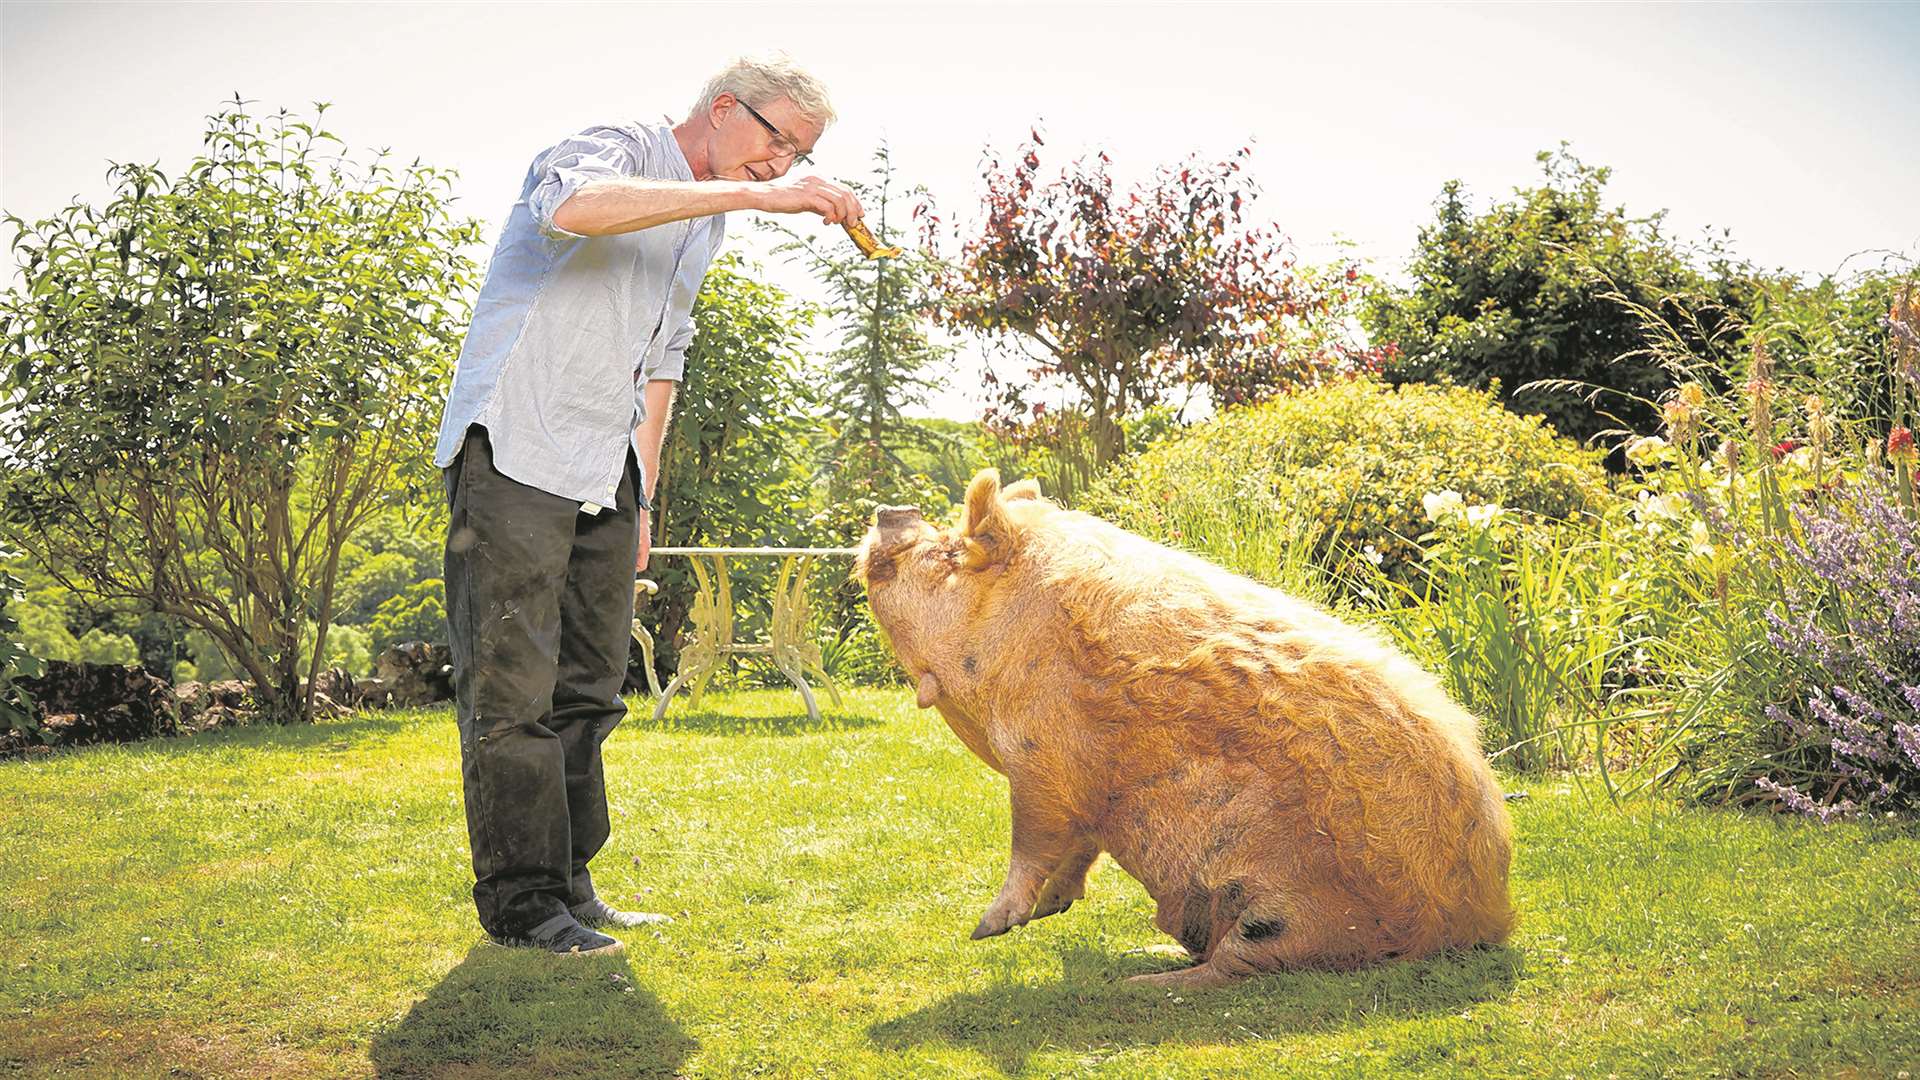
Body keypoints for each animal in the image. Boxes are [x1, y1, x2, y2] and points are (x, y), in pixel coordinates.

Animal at [856, 466, 1512, 980]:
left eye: (950, 551)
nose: (894, 508)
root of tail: (1476, 922)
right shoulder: (1082, 796)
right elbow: (1078, 845)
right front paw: (1050, 911)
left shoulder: (1043, 751)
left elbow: (1034, 834)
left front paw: (985, 929)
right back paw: (1142, 956)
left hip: (1277, 896)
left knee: (1243, 965)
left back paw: (1137, 982)